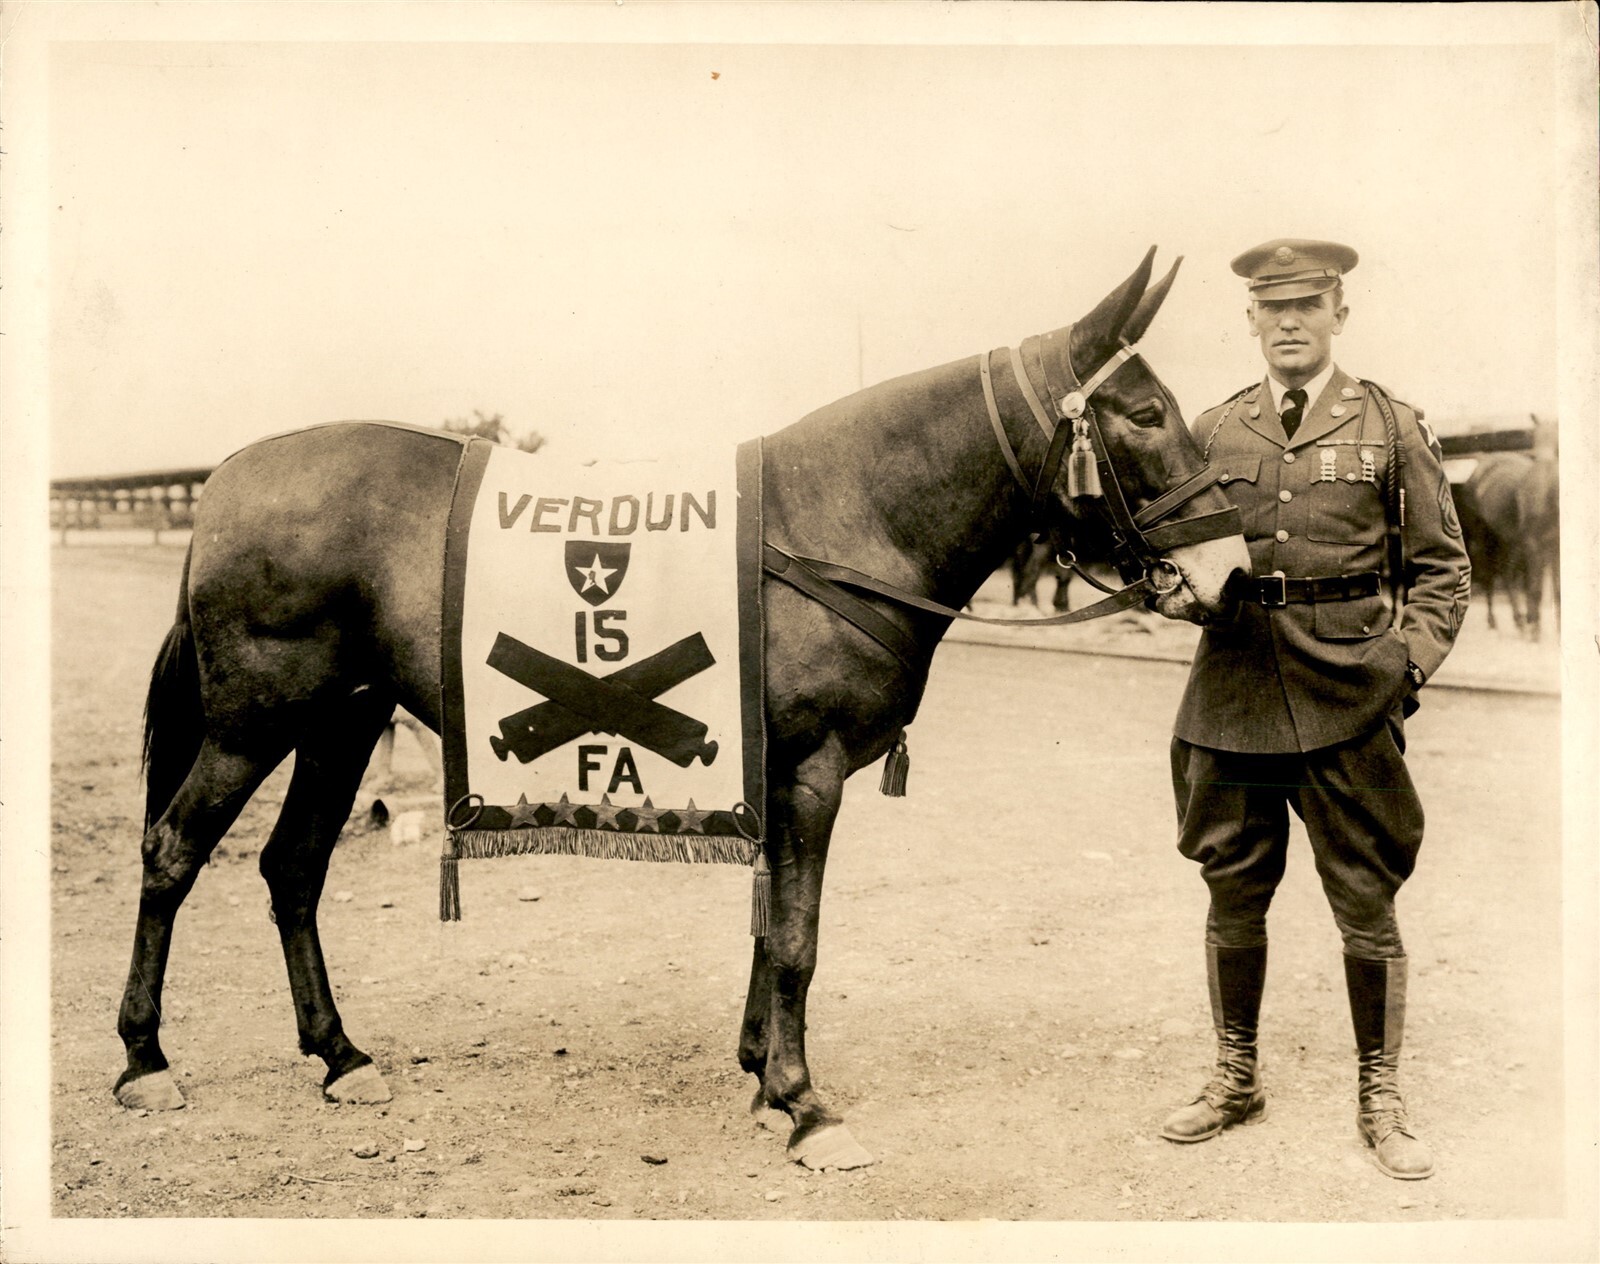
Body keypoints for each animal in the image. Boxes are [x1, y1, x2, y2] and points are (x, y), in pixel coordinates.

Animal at [113, 248, 1249, 1170]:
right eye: (1144, 412)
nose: (1230, 566)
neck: (834, 522)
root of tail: (225, 479)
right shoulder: (811, 773)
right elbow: (798, 936)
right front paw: (803, 1105)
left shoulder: (770, 778)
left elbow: (769, 924)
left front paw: (760, 1073)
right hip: (254, 723)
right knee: (172, 851)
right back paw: (145, 1059)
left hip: (341, 722)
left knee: (292, 867)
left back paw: (340, 1056)